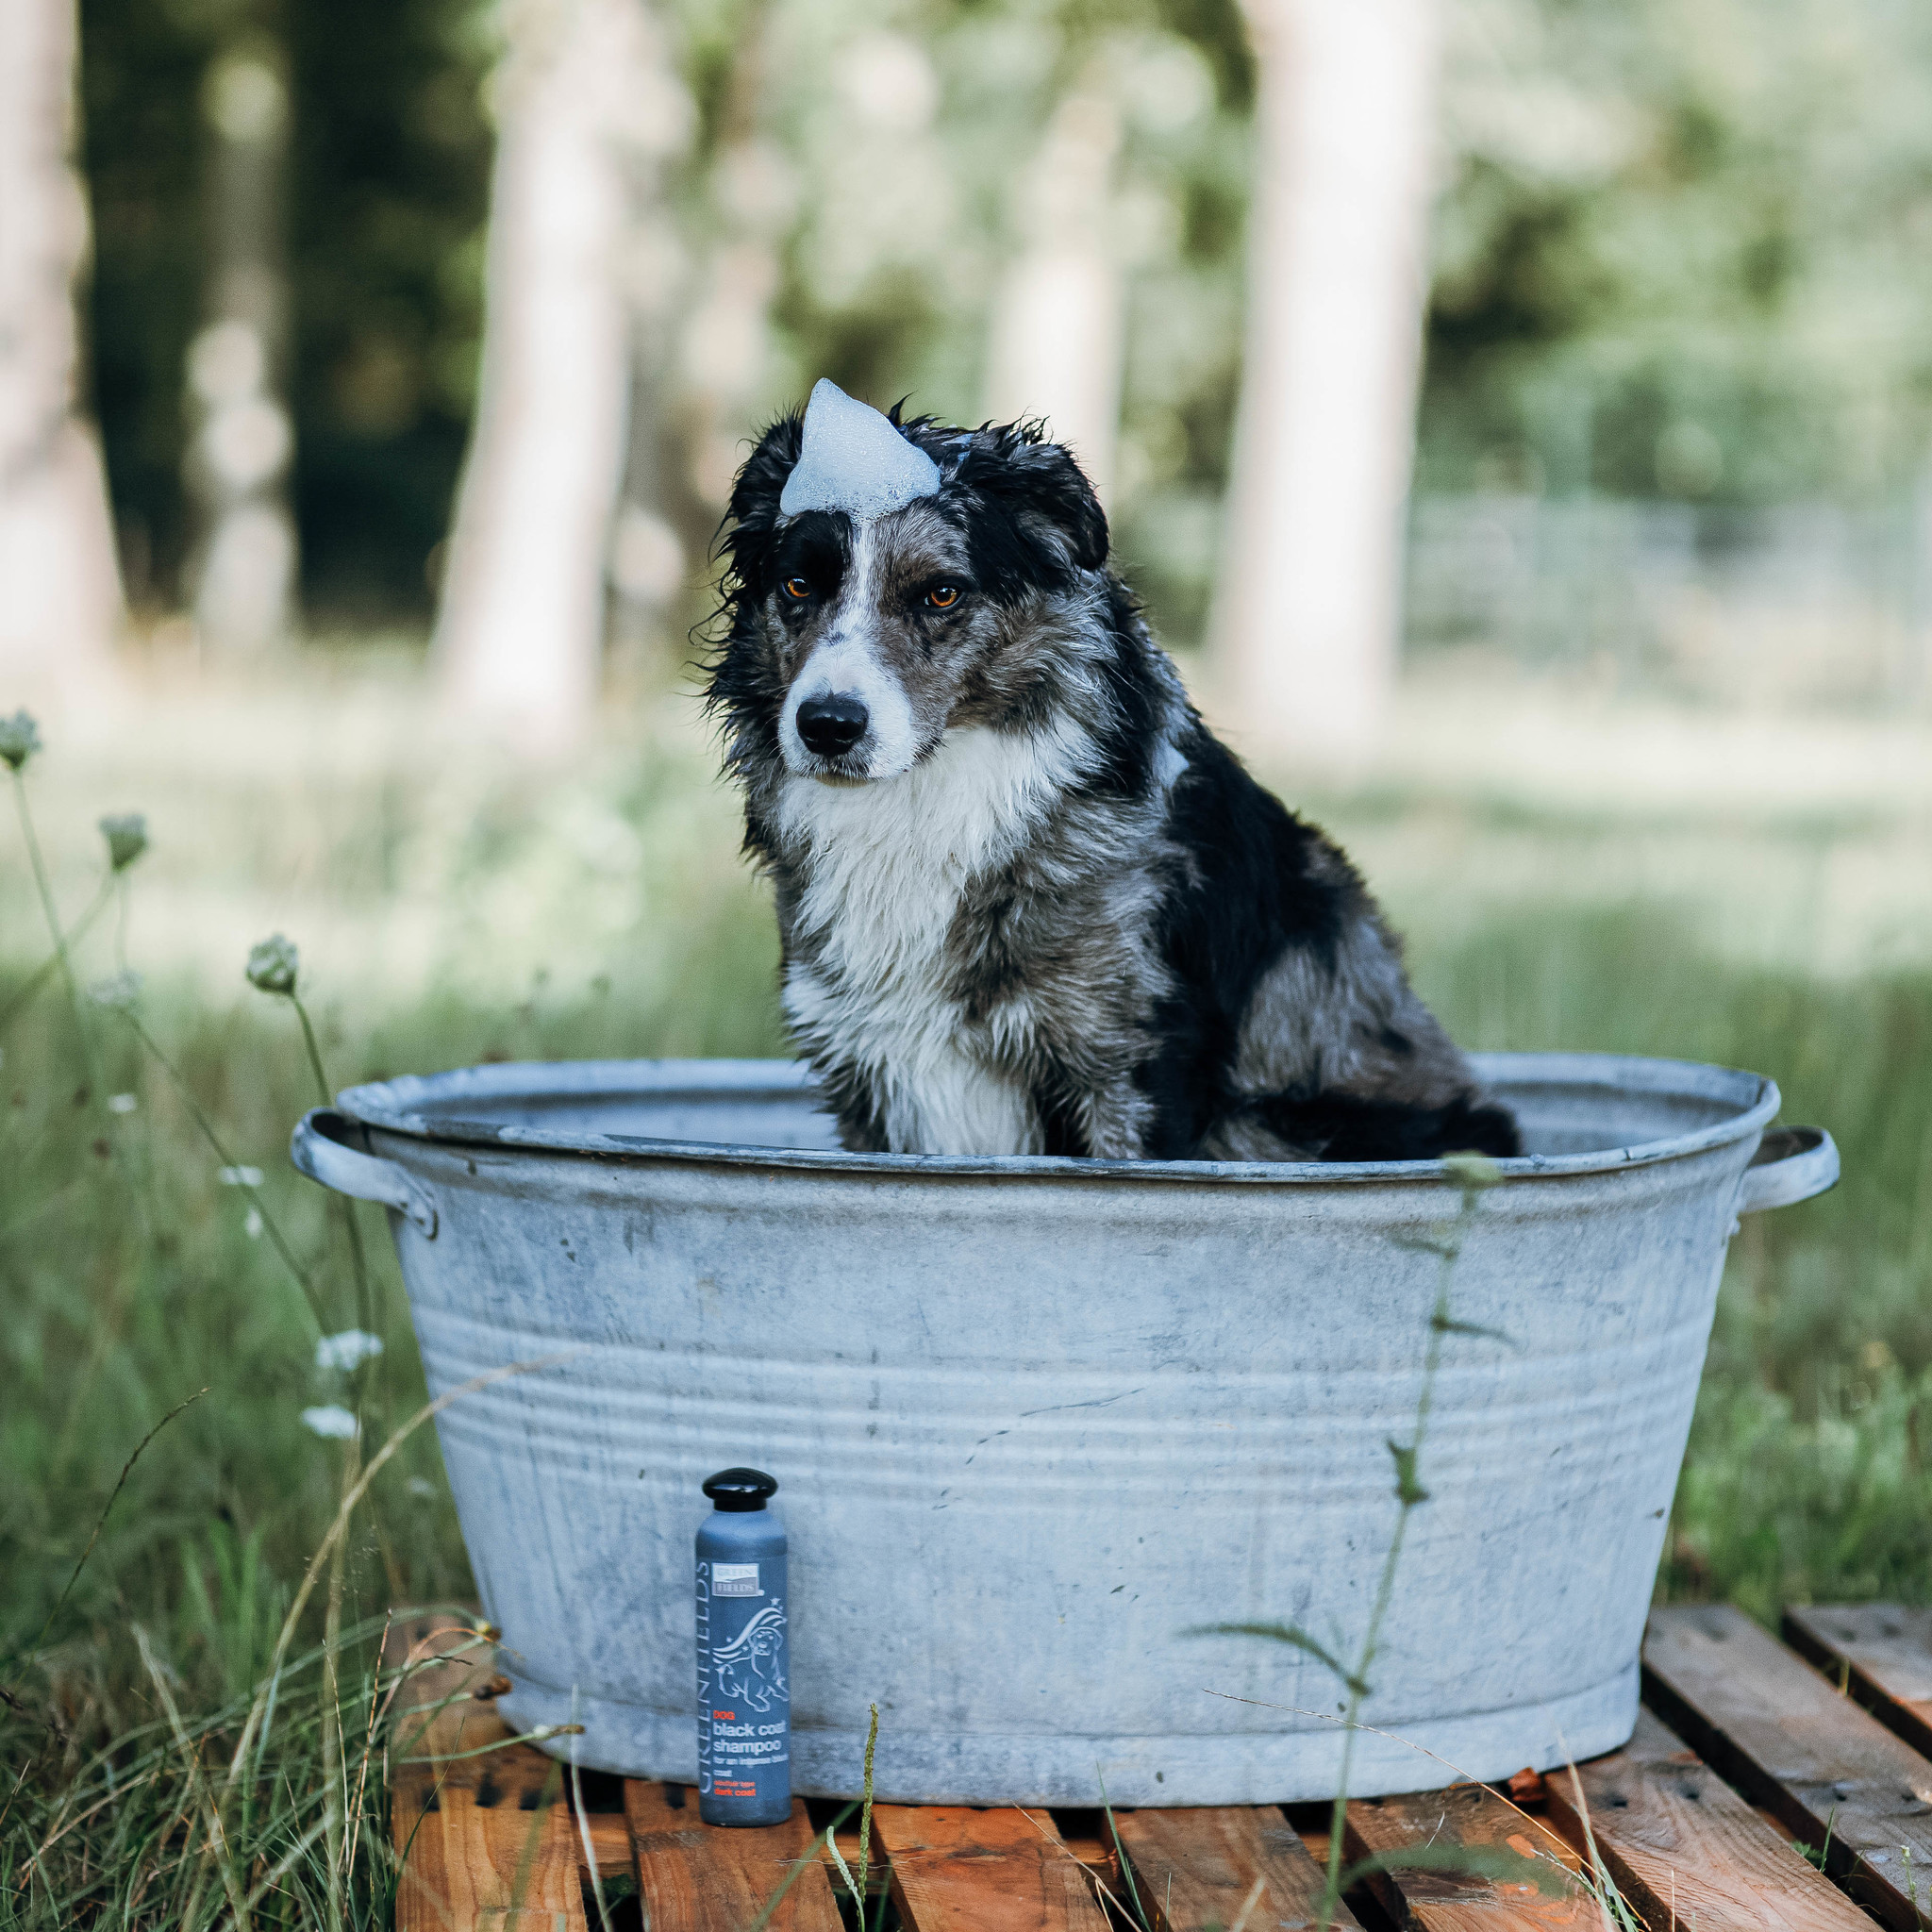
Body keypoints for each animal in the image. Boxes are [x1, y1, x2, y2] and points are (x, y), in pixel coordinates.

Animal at [703, 376, 1514, 1158]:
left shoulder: (1129, 1067)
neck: (928, 800)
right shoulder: (861, 1067)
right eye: (798, 586)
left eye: (940, 591)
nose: (827, 726)